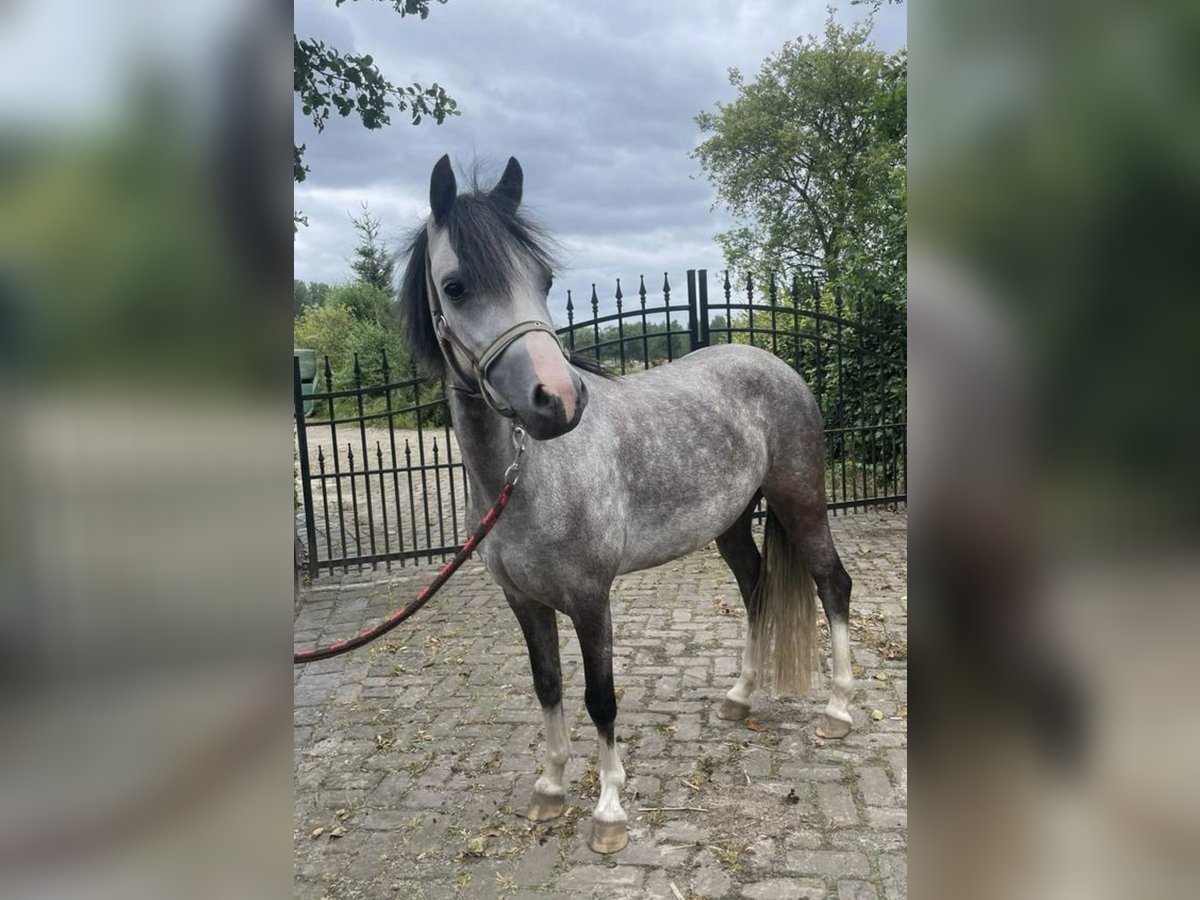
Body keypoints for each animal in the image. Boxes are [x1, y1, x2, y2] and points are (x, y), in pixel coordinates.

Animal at [396, 158, 854, 854]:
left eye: (543, 279)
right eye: (455, 286)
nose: (557, 400)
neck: (528, 478)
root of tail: (777, 365)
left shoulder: (591, 598)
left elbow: (601, 697)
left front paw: (609, 811)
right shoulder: (523, 601)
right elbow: (548, 686)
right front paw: (550, 788)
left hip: (801, 503)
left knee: (832, 583)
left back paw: (838, 710)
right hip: (730, 525)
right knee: (755, 588)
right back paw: (739, 697)